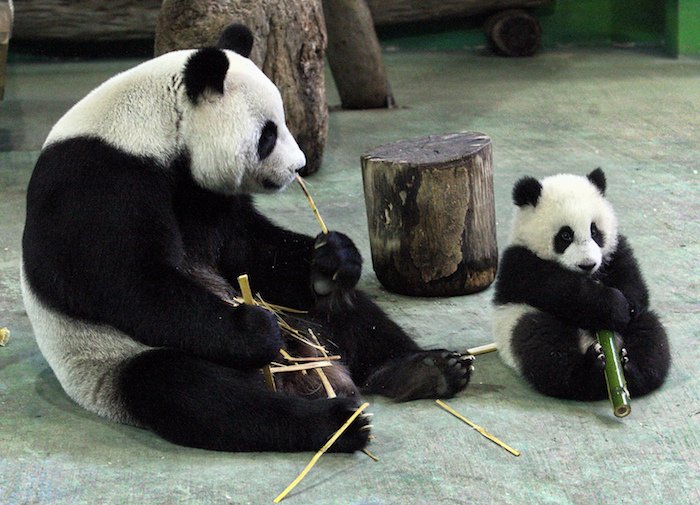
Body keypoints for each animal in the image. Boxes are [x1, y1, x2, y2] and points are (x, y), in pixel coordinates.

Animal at [21, 24, 474, 452]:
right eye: (268, 134)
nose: (299, 166)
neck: (148, 129)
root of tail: (312, 374)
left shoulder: (200, 196)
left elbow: (247, 248)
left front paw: (334, 256)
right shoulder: (98, 182)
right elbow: (126, 282)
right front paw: (255, 328)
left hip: (302, 314)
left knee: (347, 312)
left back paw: (424, 370)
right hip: (114, 359)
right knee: (195, 392)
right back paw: (335, 424)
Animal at [490, 169, 668, 402]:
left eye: (594, 231)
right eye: (565, 235)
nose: (588, 264)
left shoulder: (614, 250)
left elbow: (631, 276)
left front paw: (627, 305)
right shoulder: (520, 264)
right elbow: (562, 290)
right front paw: (613, 306)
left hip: (640, 331)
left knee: (652, 338)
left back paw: (632, 371)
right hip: (519, 320)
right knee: (544, 346)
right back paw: (589, 372)